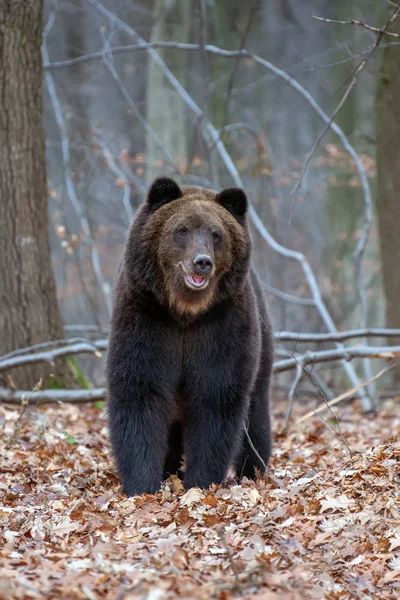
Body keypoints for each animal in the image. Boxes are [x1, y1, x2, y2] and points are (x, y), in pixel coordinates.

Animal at [106, 176, 274, 494]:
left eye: (216, 233)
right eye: (182, 230)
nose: (202, 261)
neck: (186, 312)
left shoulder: (221, 326)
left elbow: (216, 396)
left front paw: (200, 480)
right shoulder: (148, 320)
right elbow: (140, 392)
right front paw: (142, 483)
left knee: (256, 411)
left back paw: (253, 468)